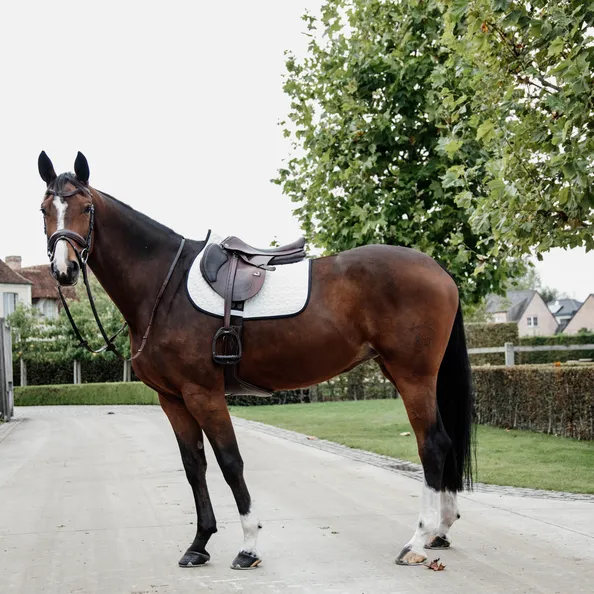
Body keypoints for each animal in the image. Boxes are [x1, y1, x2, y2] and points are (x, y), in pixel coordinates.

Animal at [37, 151, 472, 568]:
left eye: (86, 207)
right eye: (44, 209)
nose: (64, 269)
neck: (164, 286)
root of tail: (437, 268)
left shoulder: (204, 394)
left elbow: (230, 462)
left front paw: (248, 547)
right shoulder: (173, 399)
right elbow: (194, 467)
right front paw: (199, 545)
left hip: (412, 375)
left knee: (432, 444)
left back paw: (416, 541)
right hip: (404, 372)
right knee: (445, 442)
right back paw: (441, 530)